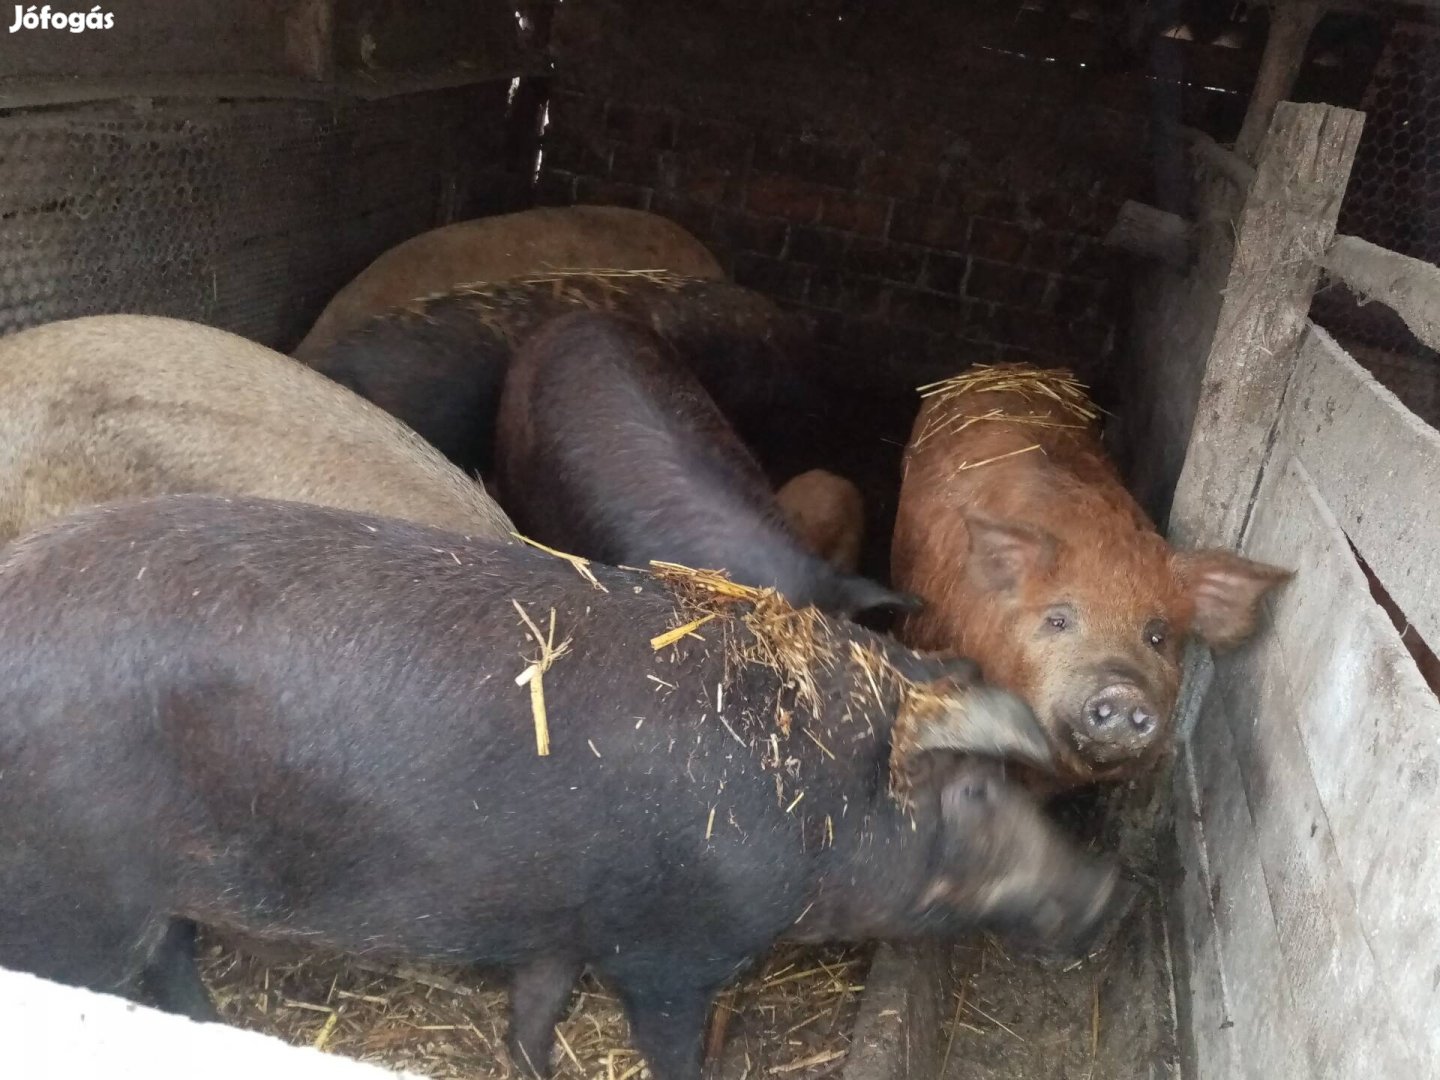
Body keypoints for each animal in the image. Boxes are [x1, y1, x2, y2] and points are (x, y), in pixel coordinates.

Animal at [0, 498, 1128, 1080]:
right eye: (976, 795)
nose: (1107, 890)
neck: (814, 796)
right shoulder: (673, 952)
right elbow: (671, 1047)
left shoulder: (562, 919)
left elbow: (532, 1011)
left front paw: (537, 1067)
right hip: (72, 895)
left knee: (169, 958)